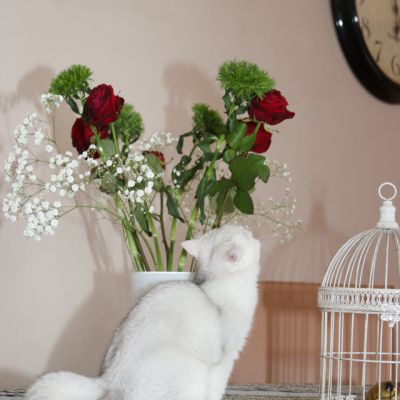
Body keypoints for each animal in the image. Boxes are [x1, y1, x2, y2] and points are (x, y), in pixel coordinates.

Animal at [24, 224, 261, 400]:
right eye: (246, 234)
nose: (252, 231)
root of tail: (107, 379)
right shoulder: (225, 359)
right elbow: (216, 390)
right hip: (192, 371)